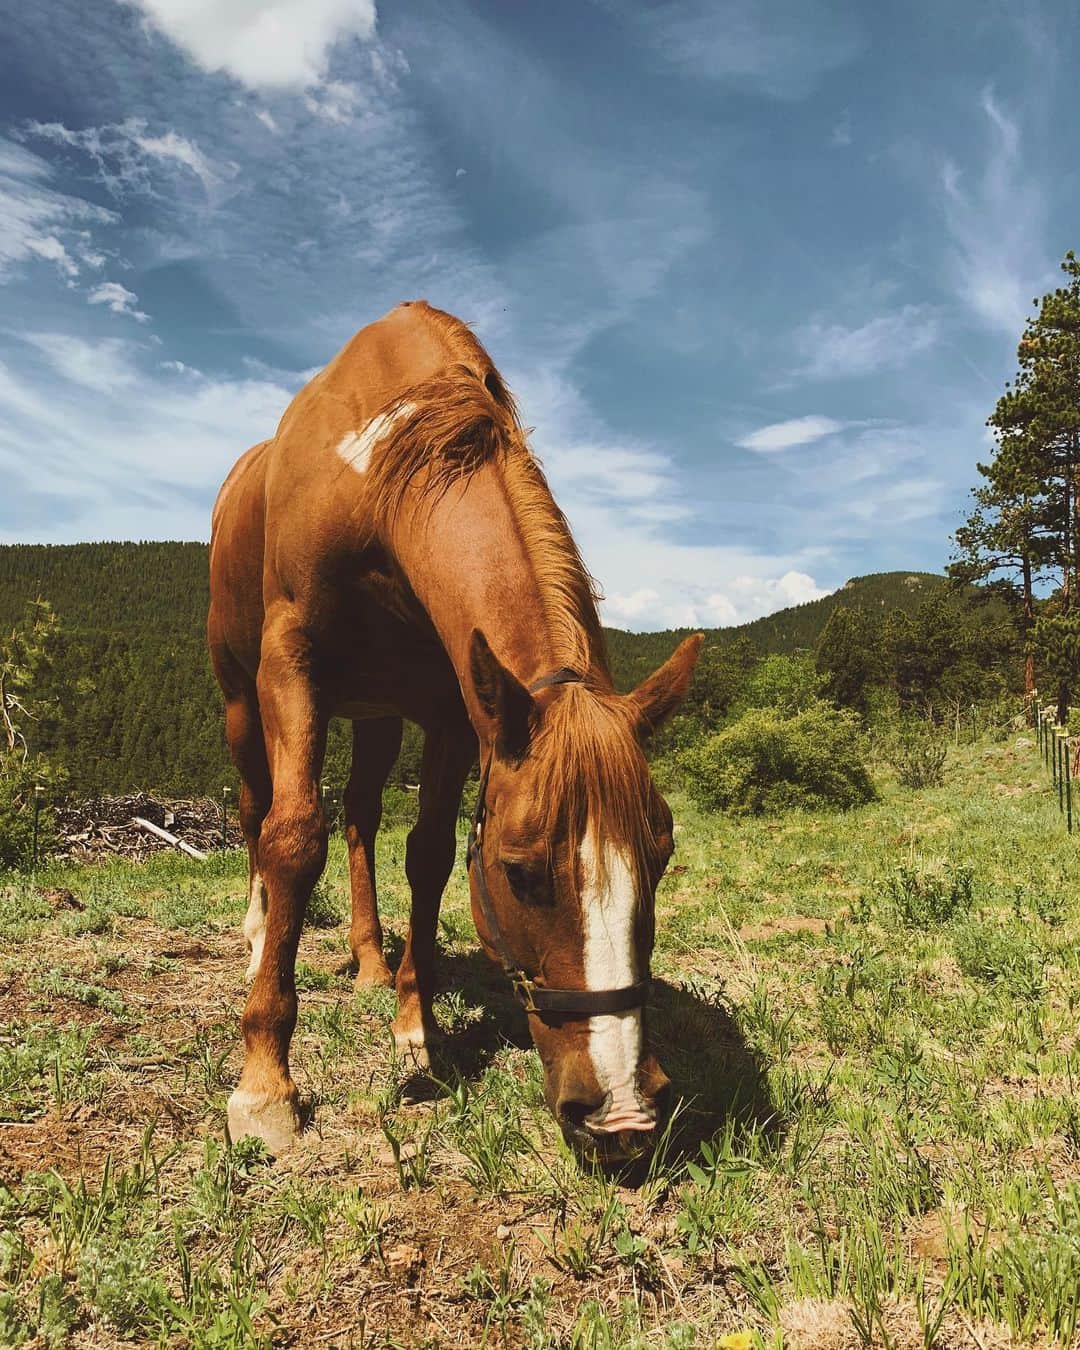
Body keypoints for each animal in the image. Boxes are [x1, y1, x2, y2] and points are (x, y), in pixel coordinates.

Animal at [209, 303, 702, 1161]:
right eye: (519, 871)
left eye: (661, 855)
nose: (622, 1116)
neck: (378, 476)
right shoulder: (289, 662)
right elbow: (292, 837)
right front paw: (265, 1080)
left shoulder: (452, 709)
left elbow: (429, 854)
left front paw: (416, 1022)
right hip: (242, 698)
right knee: (253, 811)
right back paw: (257, 931)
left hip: (374, 716)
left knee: (360, 816)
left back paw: (371, 959)